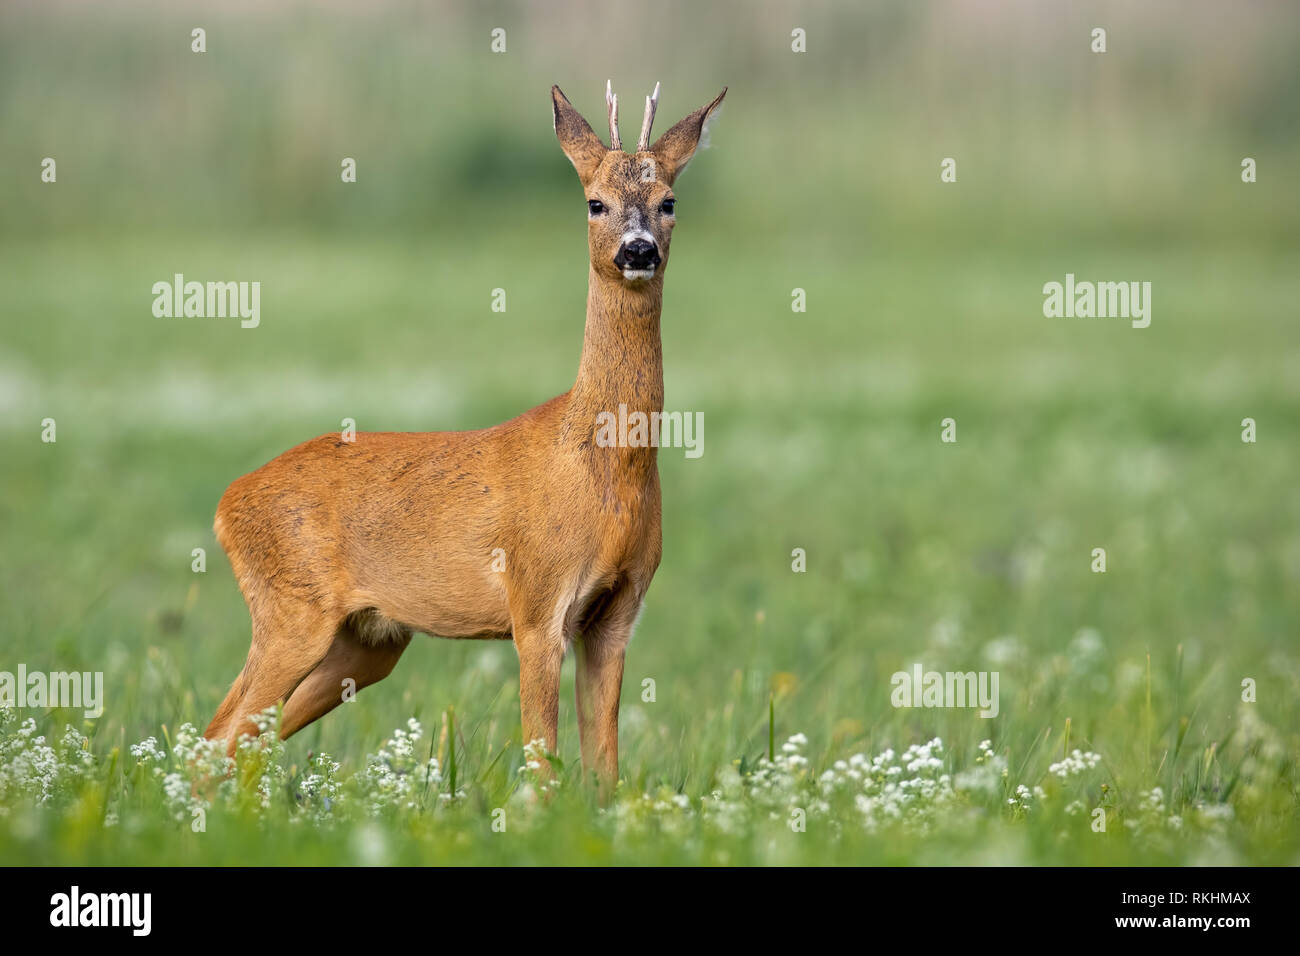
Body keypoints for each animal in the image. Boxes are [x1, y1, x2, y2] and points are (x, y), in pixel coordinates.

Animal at [208, 80, 728, 785]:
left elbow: (605, 772)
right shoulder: (536, 602)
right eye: (594, 202)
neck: (601, 469)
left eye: (669, 200)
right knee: (217, 733)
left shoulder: (617, 616)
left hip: (365, 641)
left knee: (239, 738)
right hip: (291, 611)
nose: (638, 249)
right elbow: (543, 762)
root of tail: (225, 503)